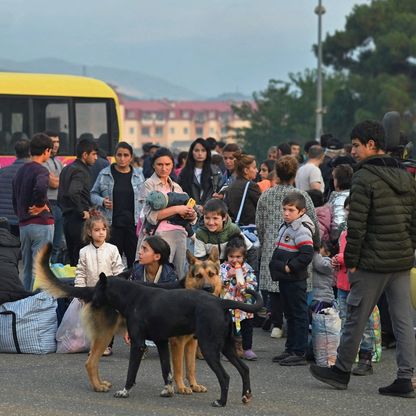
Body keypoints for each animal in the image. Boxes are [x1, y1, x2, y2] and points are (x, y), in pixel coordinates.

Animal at [35, 242, 264, 408]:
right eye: (198, 275)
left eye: (212, 274)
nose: (92, 300)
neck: (131, 295)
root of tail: (220, 302)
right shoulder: (168, 343)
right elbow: (170, 371)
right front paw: (172, 389)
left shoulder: (142, 344)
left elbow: (135, 373)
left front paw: (125, 391)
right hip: (223, 346)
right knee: (244, 370)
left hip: (210, 347)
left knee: (226, 376)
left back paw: (222, 402)